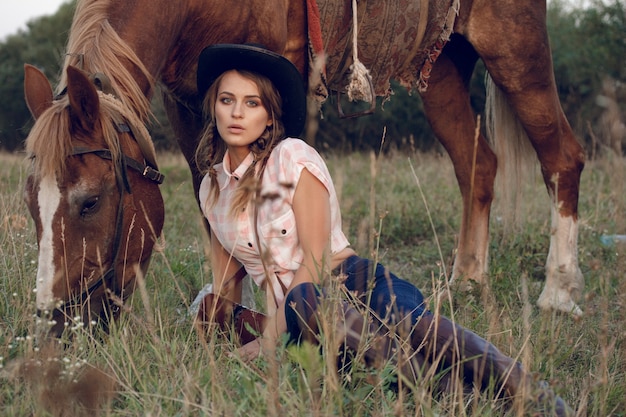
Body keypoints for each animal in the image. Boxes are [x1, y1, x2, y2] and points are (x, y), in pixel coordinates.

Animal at [22, 0, 584, 334]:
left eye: (91, 201)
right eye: (30, 204)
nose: (58, 321)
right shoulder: (188, 99)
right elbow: (211, 199)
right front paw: (224, 308)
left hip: (513, 46)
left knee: (562, 157)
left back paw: (558, 292)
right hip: (444, 66)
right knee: (477, 167)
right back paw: (466, 280)